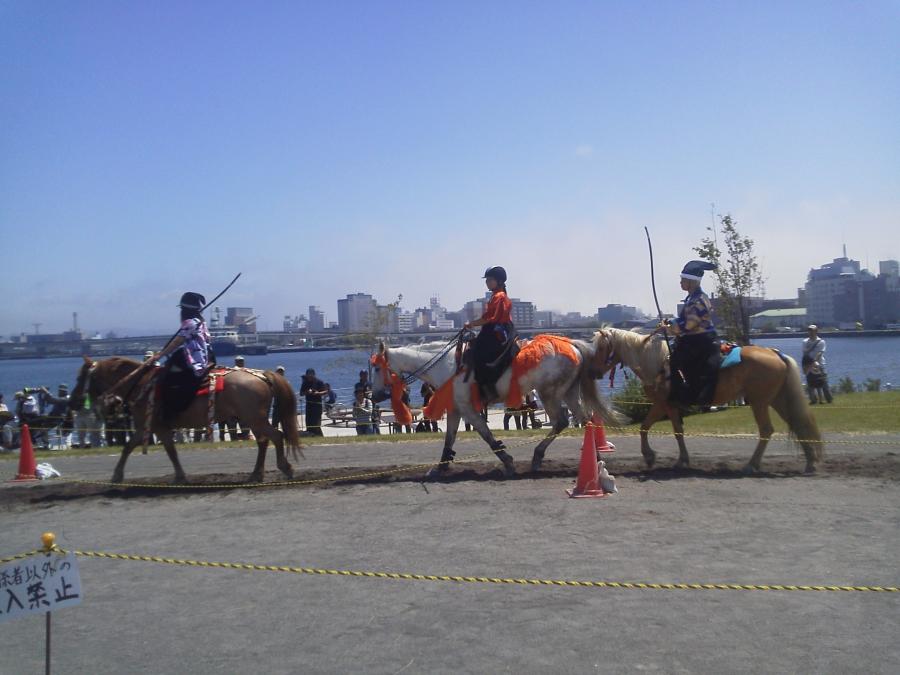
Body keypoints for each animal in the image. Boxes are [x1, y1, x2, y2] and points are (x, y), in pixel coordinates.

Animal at [69, 356, 302, 484]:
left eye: (80, 378)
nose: (73, 402)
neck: (142, 385)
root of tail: (262, 375)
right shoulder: (149, 427)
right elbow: (133, 447)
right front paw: (117, 475)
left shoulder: (155, 426)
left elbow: (167, 450)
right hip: (253, 419)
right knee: (264, 441)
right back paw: (256, 474)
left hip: (255, 418)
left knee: (276, 436)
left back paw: (285, 467)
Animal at [370, 336, 620, 478]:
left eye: (376, 368)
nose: (376, 396)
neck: (447, 366)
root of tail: (572, 345)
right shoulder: (456, 409)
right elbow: (449, 438)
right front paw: (440, 467)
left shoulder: (469, 409)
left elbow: (486, 434)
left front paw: (507, 462)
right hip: (568, 392)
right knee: (584, 419)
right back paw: (594, 457)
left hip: (549, 393)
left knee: (561, 421)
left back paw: (539, 456)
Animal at [592, 330, 824, 472]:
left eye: (602, 348)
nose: (594, 372)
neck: (655, 363)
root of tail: (776, 354)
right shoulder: (670, 406)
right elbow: (675, 431)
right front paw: (681, 460)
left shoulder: (662, 404)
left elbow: (646, 427)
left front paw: (650, 456)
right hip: (777, 398)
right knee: (797, 423)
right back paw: (810, 463)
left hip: (759, 401)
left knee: (767, 429)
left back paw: (752, 464)